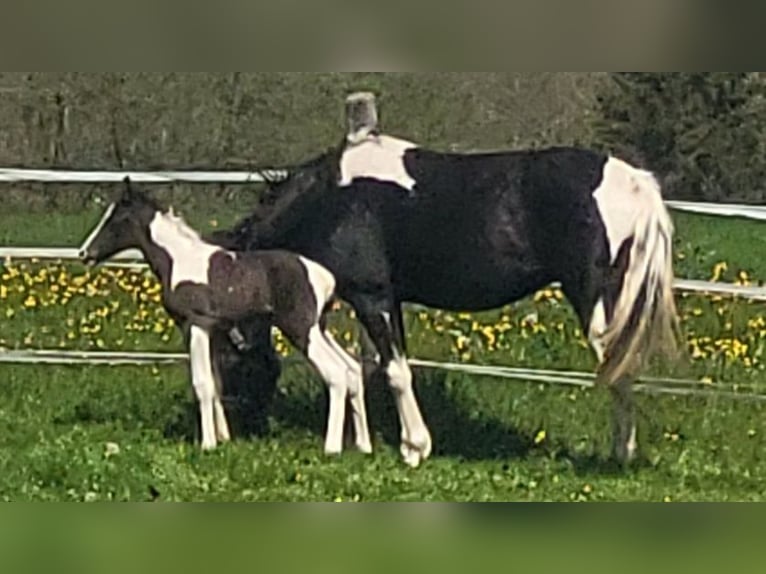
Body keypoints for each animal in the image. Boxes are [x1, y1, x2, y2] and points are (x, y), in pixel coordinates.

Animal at [77, 180, 372, 460]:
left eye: (117, 218)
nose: (84, 254)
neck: (179, 259)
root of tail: (325, 277)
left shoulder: (195, 325)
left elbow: (202, 384)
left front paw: (207, 444)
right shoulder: (211, 331)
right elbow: (216, 385)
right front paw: (224, 439)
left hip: (300, 328)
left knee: (336, 373)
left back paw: (331, 448)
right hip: (319, 327)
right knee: (353, 369)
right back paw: (364, 445)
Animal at [214, 129, 680, 468]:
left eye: (227, 358)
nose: (244, 426)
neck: (332, 199)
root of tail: (637, 182)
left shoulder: (373, 297)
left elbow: (396, 371)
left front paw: (414, 448)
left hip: (598, 304)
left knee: (618, 370)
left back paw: (619, 457)